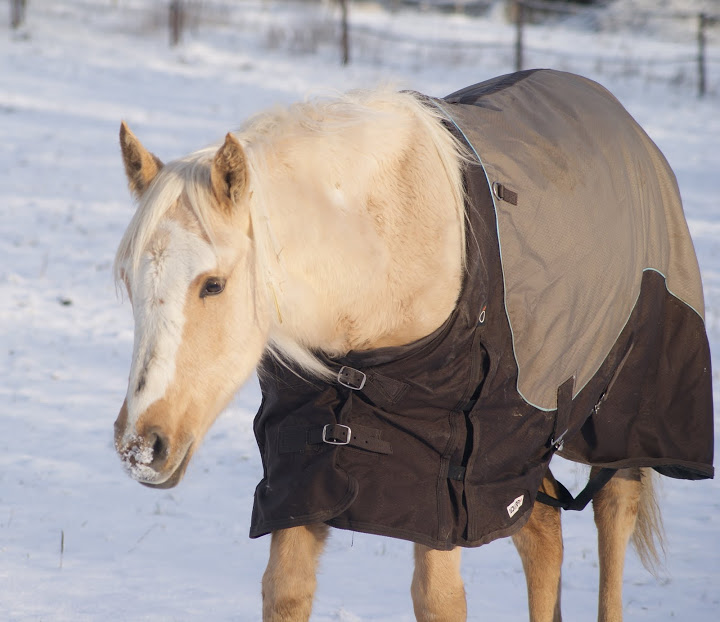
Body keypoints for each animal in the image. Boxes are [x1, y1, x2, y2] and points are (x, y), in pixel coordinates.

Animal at [112, 70, 708, 622]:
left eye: (213, 285)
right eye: (129, 284)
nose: (140, 446)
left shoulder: (447, 490)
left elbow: (438, 599)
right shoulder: (303, 473)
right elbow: (285, 590)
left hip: (622, 415)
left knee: (614, 508)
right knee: (543, 533)